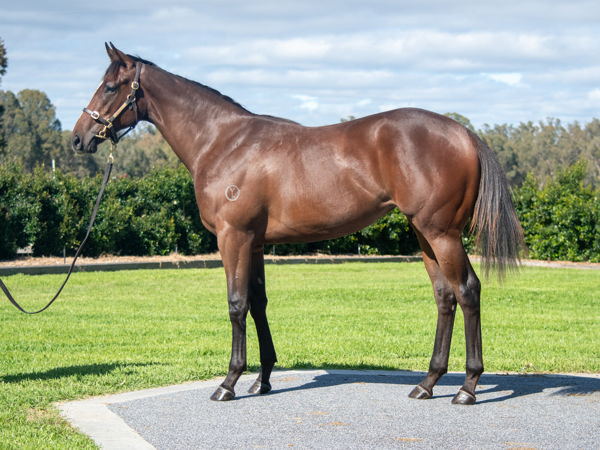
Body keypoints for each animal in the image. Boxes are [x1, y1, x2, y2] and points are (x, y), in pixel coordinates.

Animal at [71, 44, 524, 406]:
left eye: (109, 87)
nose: (78, 138)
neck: (222, 142)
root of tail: (463, 132)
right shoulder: (254, 242)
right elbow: (258, 304)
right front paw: (262, 380)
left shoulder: (233, 237)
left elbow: (236, 305)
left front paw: (229, 382)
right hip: (424, 235)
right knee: (445, 297)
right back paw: (428, 383)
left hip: (441, 233)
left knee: (467, 291)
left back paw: (467, 388)